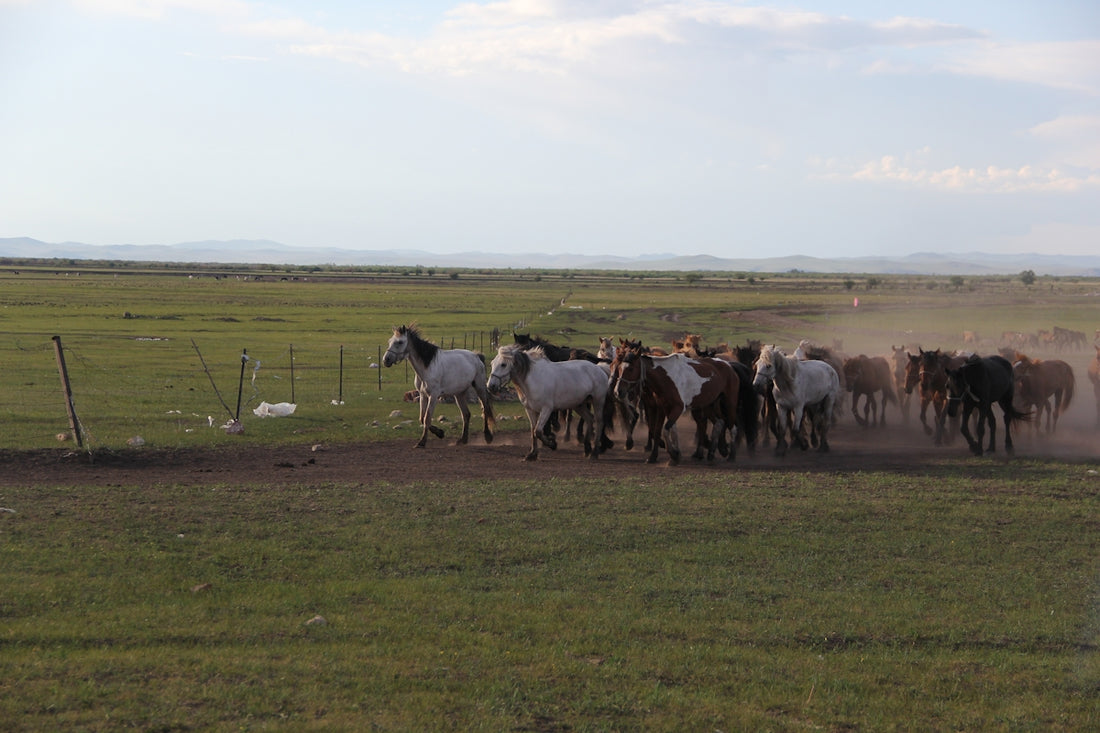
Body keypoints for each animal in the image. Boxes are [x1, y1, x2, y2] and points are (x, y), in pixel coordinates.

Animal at [610, 349, 743, 465]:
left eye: (631, 369)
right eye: (619, 368)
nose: (617, 391)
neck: (666, 377)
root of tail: (728, 365)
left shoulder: (678, 408)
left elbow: (666, 430)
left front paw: (674, 455)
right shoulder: (662, 408)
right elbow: (660, 431)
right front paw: (656, 456)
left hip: (729, 403)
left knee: (733, 427)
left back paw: (731, 455)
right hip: (708, 405)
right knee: (719, 423)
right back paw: (711, 453)